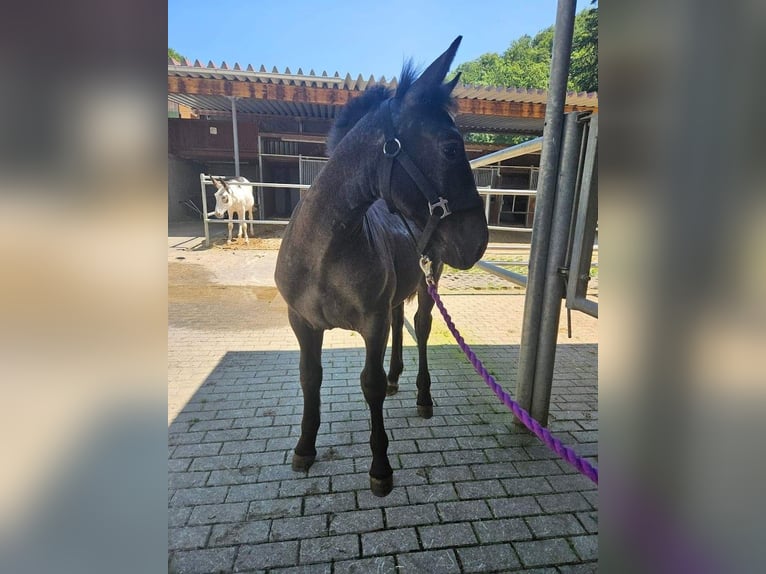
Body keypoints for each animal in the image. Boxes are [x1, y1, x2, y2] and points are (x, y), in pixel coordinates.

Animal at [278, 36, 492, 498]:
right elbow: (309, 377)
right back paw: (397, 377)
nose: (478, 242)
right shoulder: (301, 322)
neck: (324, 255)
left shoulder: (371, 324)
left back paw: (422, 397)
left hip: (430, 281)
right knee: (400, 321)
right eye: (451, 147)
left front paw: (380, 468)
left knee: (421, 326)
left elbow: (370, 385)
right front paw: (304, 448)